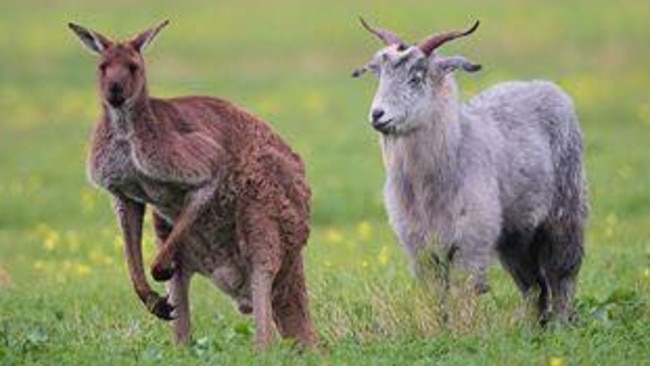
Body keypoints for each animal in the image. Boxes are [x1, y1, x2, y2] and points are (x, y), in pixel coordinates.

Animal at [68, 20, 316, 348]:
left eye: (133, 67)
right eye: (102, 67)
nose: (114, 92)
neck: (127, 132)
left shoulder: (202, 163)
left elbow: (201, 191)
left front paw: (159, 268)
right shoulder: (123, 192)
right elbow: (130, 244)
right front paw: (150, 296)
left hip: (263, 209)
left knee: (263, 279)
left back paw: (259, 346)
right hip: (167, 227)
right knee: (182, 294)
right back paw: (177, 336)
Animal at [354, 18, 588, 324]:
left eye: (416, 77)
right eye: (379, 75)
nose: (377, 115)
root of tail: (544, 86)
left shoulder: (470, 243)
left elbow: (463, 295)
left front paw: (463, 330)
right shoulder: (421, 249)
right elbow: (435, 297)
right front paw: (440, 328)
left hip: (564, 213)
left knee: (562, 274)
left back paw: (560, 323)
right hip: (515, 235)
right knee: (533, 285)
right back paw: (530, 326)